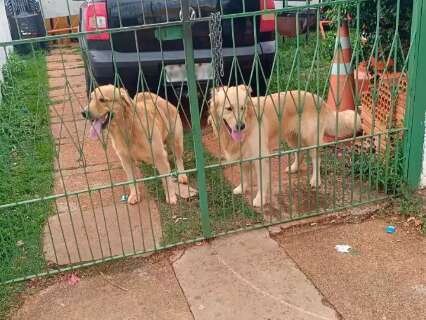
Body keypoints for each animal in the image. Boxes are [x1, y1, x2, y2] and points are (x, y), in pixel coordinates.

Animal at [208, 84, 362, 206]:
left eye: (243, 108)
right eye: (229, 108)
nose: (241, 126)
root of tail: (319, 99)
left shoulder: (261, 158)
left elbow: (261, 182)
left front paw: (259, 200)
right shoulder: (243, 156)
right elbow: (244, 175)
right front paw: (241, 188)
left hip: (311, 139)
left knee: (316, 158)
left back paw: (315, 180)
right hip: (292, 137)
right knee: (300, 153)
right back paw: (293, 168)